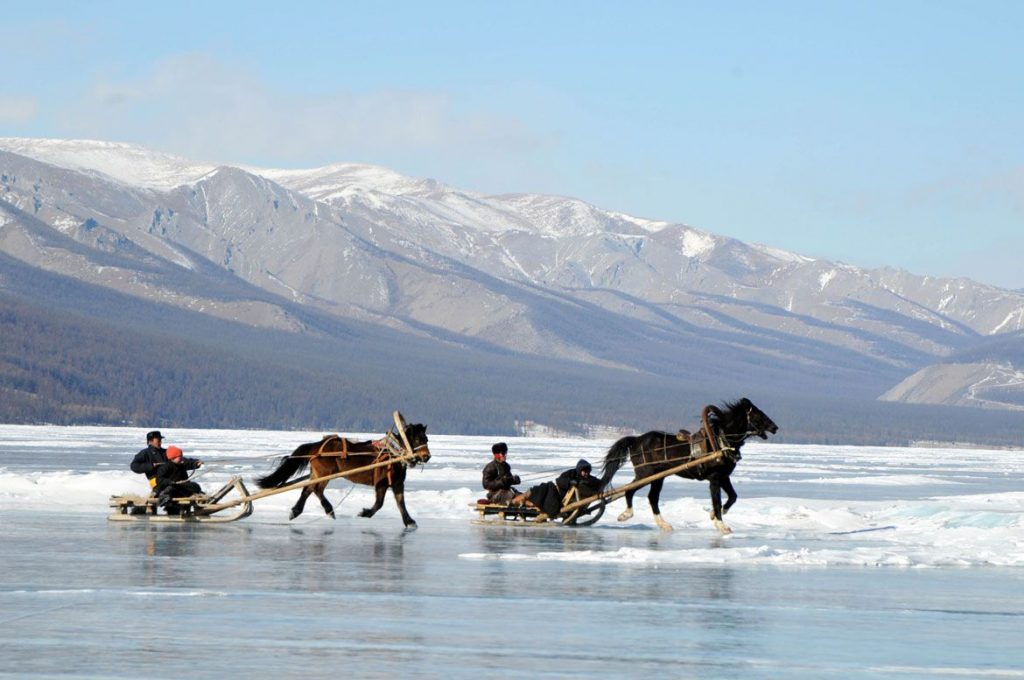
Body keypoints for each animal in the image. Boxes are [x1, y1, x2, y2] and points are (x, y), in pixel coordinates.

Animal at [260, 417, 432, 528]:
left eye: (427, 439)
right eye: (417, 439)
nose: (427, 456)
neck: (394, 453)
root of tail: (317, 445)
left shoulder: (397, 483)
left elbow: (401, 503)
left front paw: (409, 521)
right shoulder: (381, 483)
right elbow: (379, 503)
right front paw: (364, 513)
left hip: (317, 473)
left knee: (308, 490)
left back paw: (298, 511)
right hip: (324, 473)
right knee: (316, 489)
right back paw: (327, 510)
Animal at [598, 395, 774, 532]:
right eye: (758, 414)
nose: (775, 427)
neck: (720, 441)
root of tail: (636, 439)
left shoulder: (724, 476)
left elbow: (733, 496)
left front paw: (713, 515)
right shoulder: (715, 478)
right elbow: (716, 501)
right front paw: (721, 525)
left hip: (658, 476)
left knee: (652, 497)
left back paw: (664, 524)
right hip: (645, 473)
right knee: (630, 490)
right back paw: (625, 515)